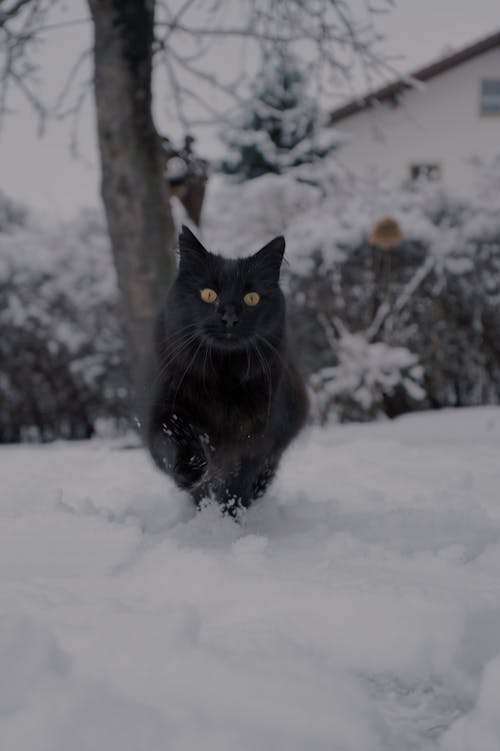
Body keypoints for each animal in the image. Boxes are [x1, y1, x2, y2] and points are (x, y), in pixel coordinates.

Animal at [146, 226, 306, 516]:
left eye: (251, 298)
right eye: (208, 294)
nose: (230, 318)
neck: (222, 377)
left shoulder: (254, 440)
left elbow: (235, 485)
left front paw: (228, 517)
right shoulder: (164, 409)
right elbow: (170, 437)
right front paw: (192, 469)